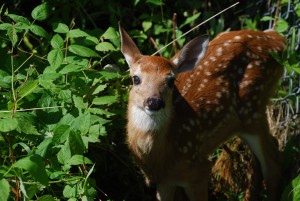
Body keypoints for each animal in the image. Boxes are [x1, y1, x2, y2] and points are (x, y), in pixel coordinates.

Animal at [119, 24, 286, 201]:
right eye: (136, 79)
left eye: (171, 81)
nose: (154, 102)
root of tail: (278, 39)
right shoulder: (164, 182)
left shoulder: (198, 170)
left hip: (253, 109)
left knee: (273, 163)